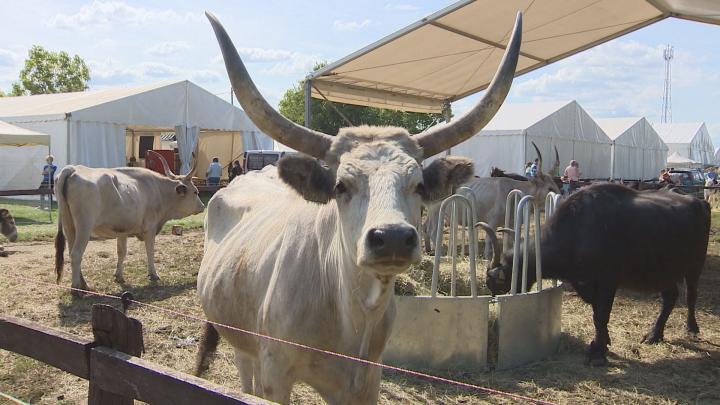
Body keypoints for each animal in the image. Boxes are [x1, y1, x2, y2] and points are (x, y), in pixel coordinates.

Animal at [54, 150, 202, 292]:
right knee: (76, 254)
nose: (202, 206)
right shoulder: (150, 227)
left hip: (69, 226)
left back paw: (84, 284)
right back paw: (76, 288)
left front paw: (119, 275)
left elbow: (122, 251)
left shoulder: (122, 230)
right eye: (195, 192)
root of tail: (72, 169)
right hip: (84, 226)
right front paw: (153, 274)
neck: (158, 190)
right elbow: (150, 251)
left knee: (71, 252)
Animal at [194, 11, 524, 402]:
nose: (392, 237)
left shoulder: (367, 381)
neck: (353, 314)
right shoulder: (277, 371)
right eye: (341, 185)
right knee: (247, 375)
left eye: (418, 185)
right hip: (241, 340)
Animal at [480, 185, 712, 364]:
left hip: (695, 265)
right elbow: (596, 314)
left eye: (496, 283)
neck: (578, 231)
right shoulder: (585, 283)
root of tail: (699, 201)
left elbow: (601, 315)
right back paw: (654, 334)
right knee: (670, 297)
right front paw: (604, 342)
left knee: (691, 295)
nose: (494, 301)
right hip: (663, 272)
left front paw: (597, 351)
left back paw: (691, 327)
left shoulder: (608, 281)